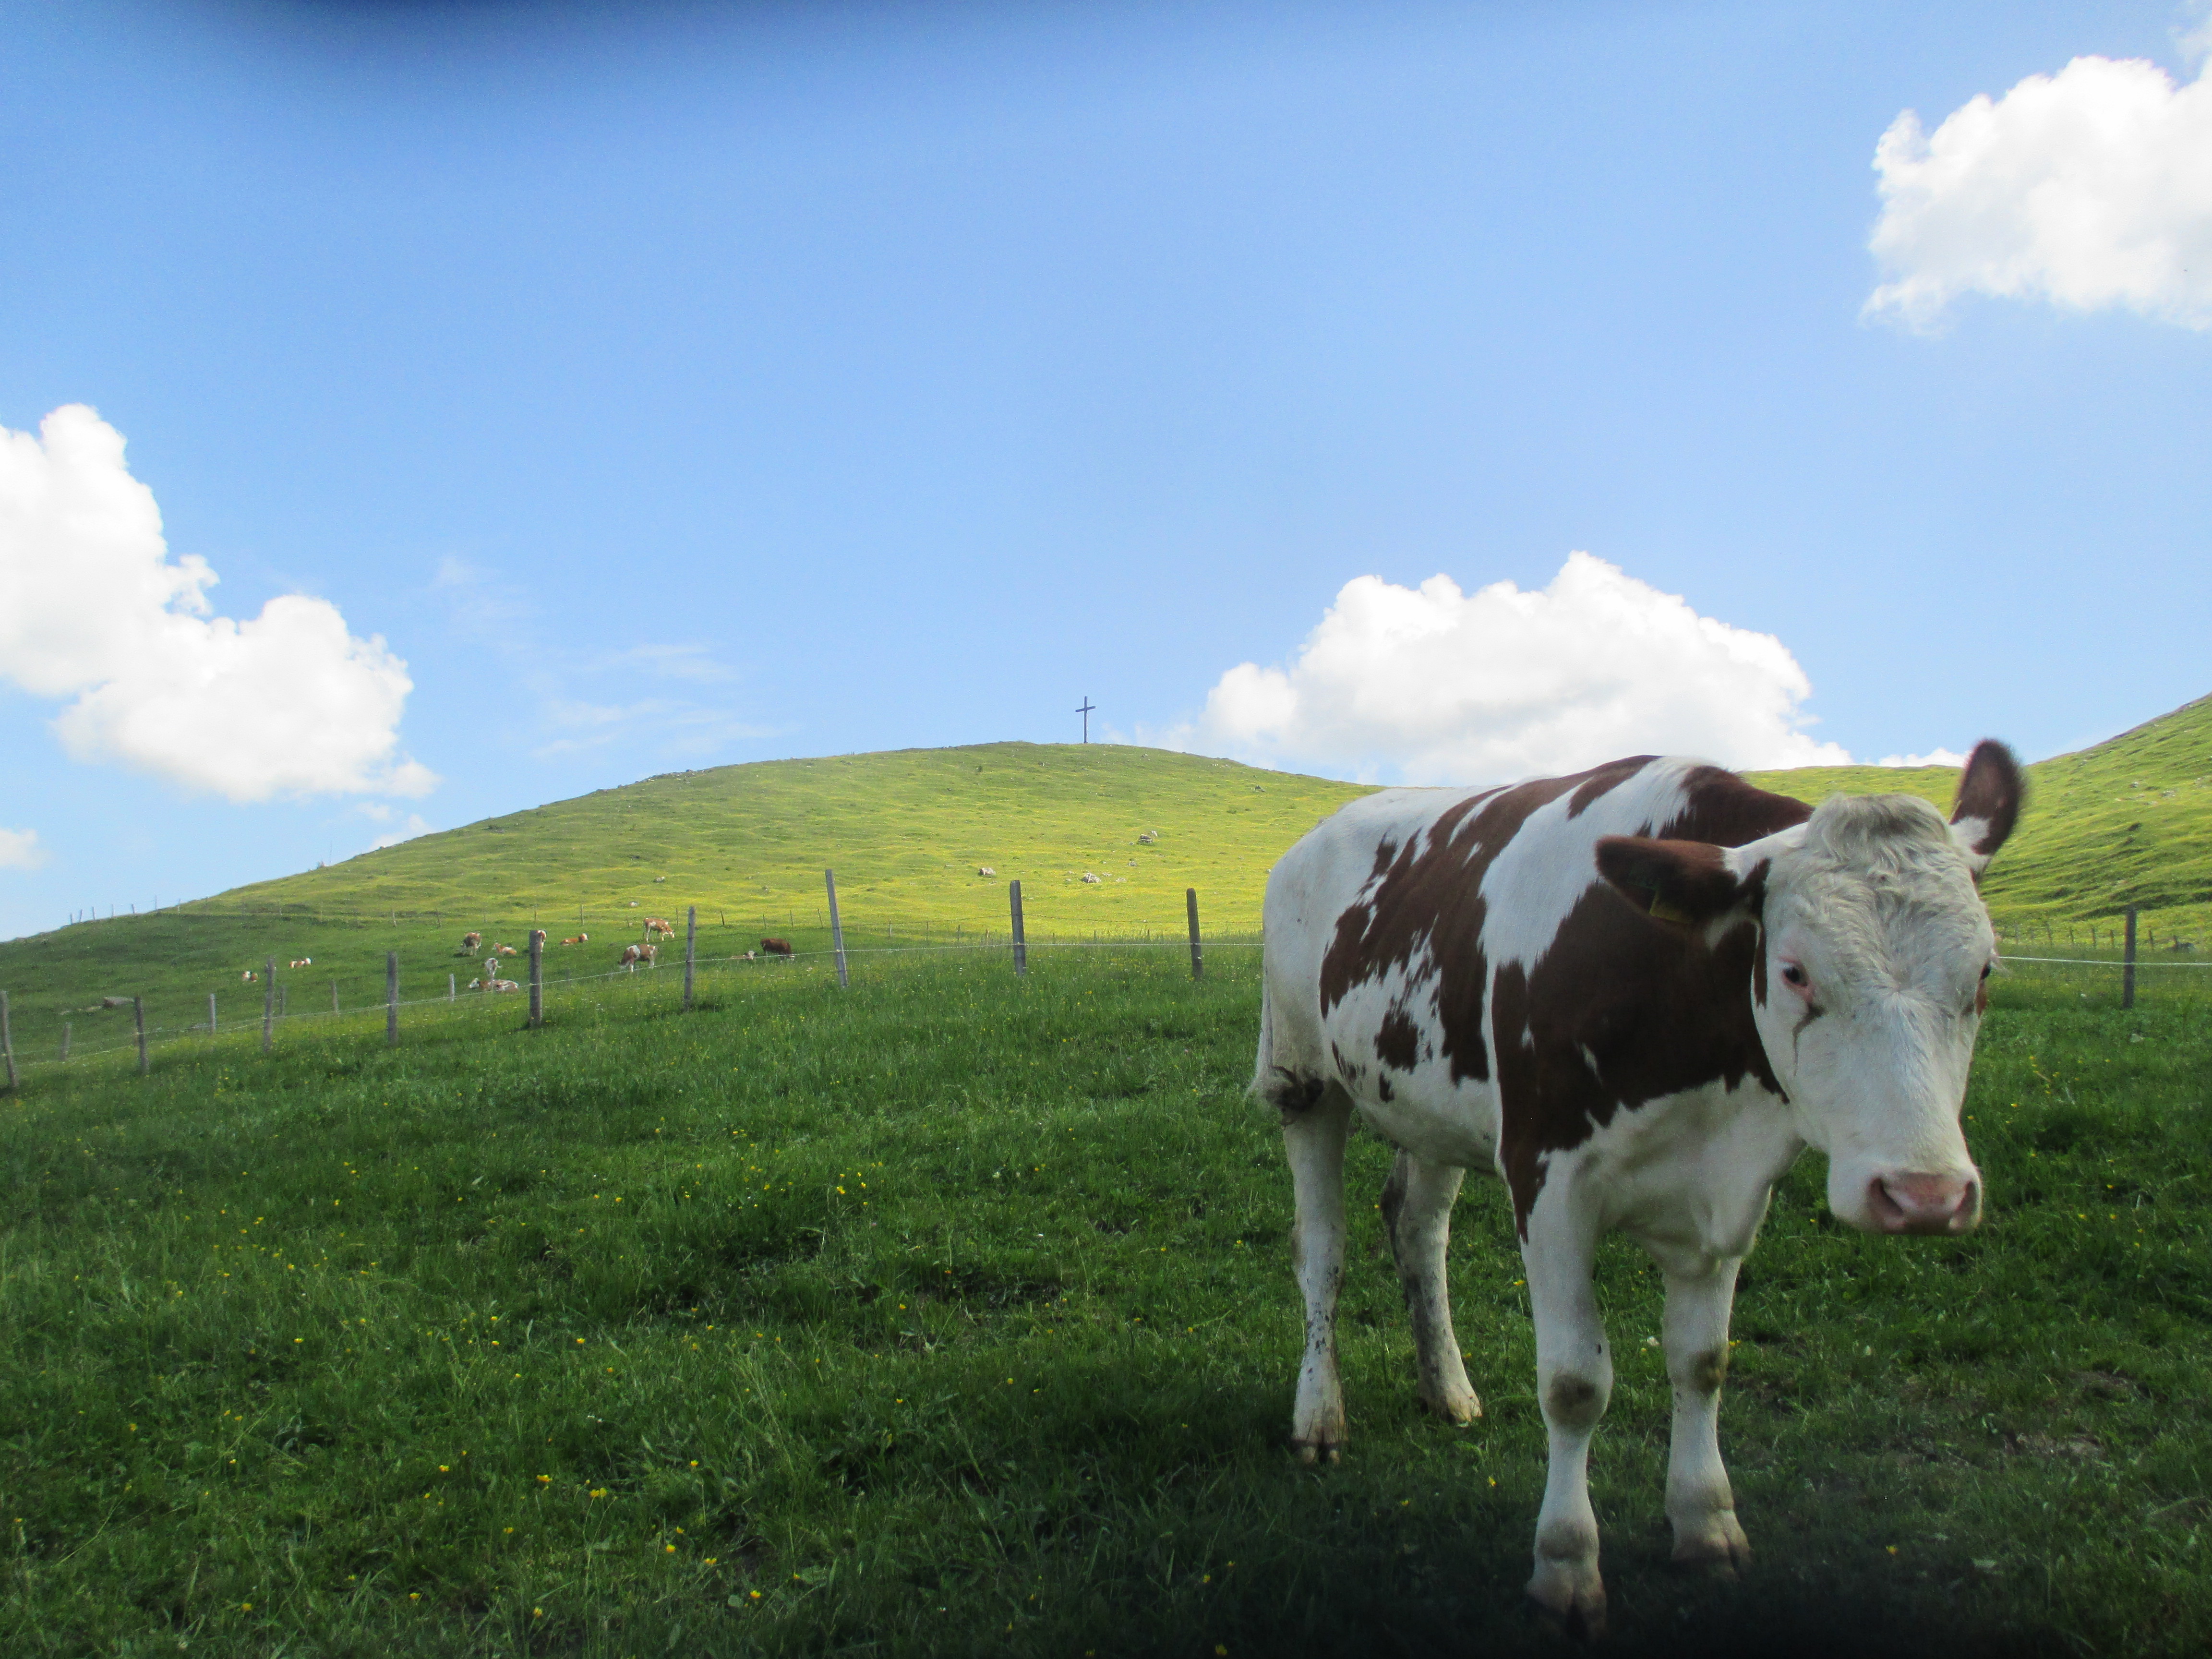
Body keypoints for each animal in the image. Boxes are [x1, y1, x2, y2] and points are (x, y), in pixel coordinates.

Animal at [1247, 743, 2026, 1636]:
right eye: (1794, 972)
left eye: (1982, 973)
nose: (1925, 1195)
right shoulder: (1548, 1181)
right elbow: (1574, 1385)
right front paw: (1564, 1565)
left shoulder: (1725, 1191)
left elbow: (1702, 1362)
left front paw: (1707, 1524)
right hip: (1304, 1077)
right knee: (1323, 1250)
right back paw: (1319, 1416)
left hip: (1428, 1100)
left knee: (1418, 1230)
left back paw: (1447, 1388)